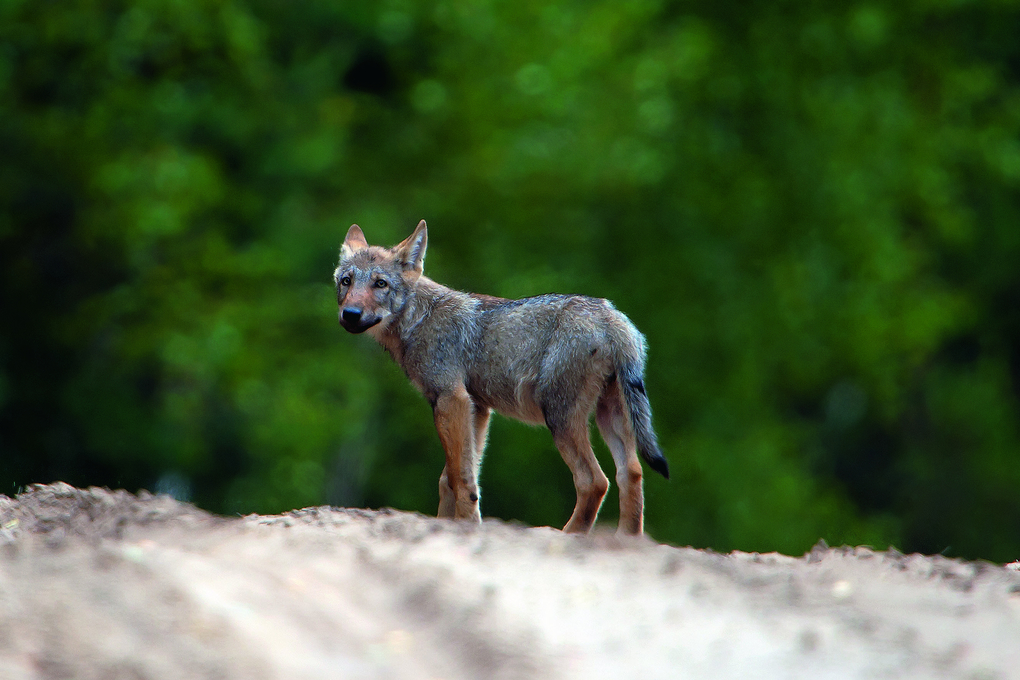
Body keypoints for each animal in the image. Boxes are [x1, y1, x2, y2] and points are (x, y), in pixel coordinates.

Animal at [334, 220, 669, 535]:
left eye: (380, 283)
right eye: (346, 282)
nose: (350, 314)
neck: (420, 319)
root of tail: (610, 315)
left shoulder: (451, 399)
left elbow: (458, 478)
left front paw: (465, 526)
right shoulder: (477, 409)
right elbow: (453, 478)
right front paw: (452, 524)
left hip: (560, 419)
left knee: (595, 482)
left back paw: (569, 536)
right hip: (609, 417)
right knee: (631, 474)